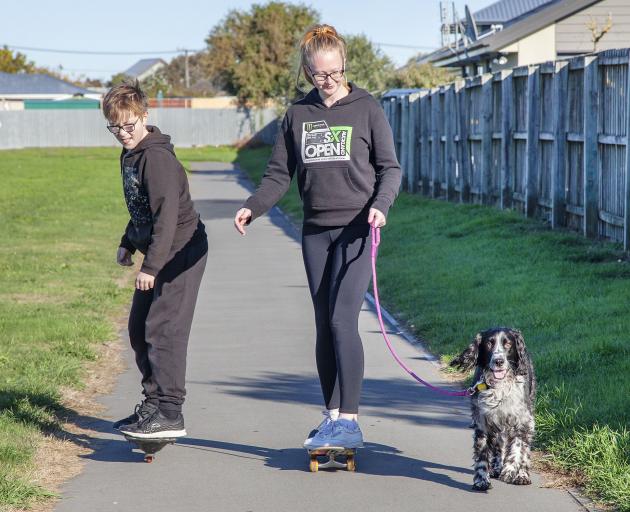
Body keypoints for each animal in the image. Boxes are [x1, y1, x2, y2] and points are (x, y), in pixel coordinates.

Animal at [452, 328, 536, 492]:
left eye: (508, 344)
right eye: (489, 343)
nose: (498, 361)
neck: (500, 386)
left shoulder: (522, 420)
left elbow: (518, 448)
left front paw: (510, 470)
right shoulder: (483, 421)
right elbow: (482, 455)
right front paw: (481, 480)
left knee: (524, 448)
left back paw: (522, 475)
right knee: (500, 444)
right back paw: (497, 467)